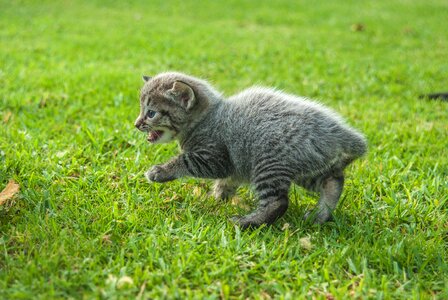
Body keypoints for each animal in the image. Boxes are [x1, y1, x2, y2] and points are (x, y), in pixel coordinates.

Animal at [135, 72, 366, 227]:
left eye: (151, 113)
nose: (137, 124)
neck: (208, 117)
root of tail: (335, 132)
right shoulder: (235, 167)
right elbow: (226, 183)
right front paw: (216, 198)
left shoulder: (214, 157)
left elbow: (185, 161)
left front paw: (160, 171)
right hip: (304, 165)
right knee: (333, 181)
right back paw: (320, 215)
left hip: (268, 163)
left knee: (278, 202)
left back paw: (246, 222)